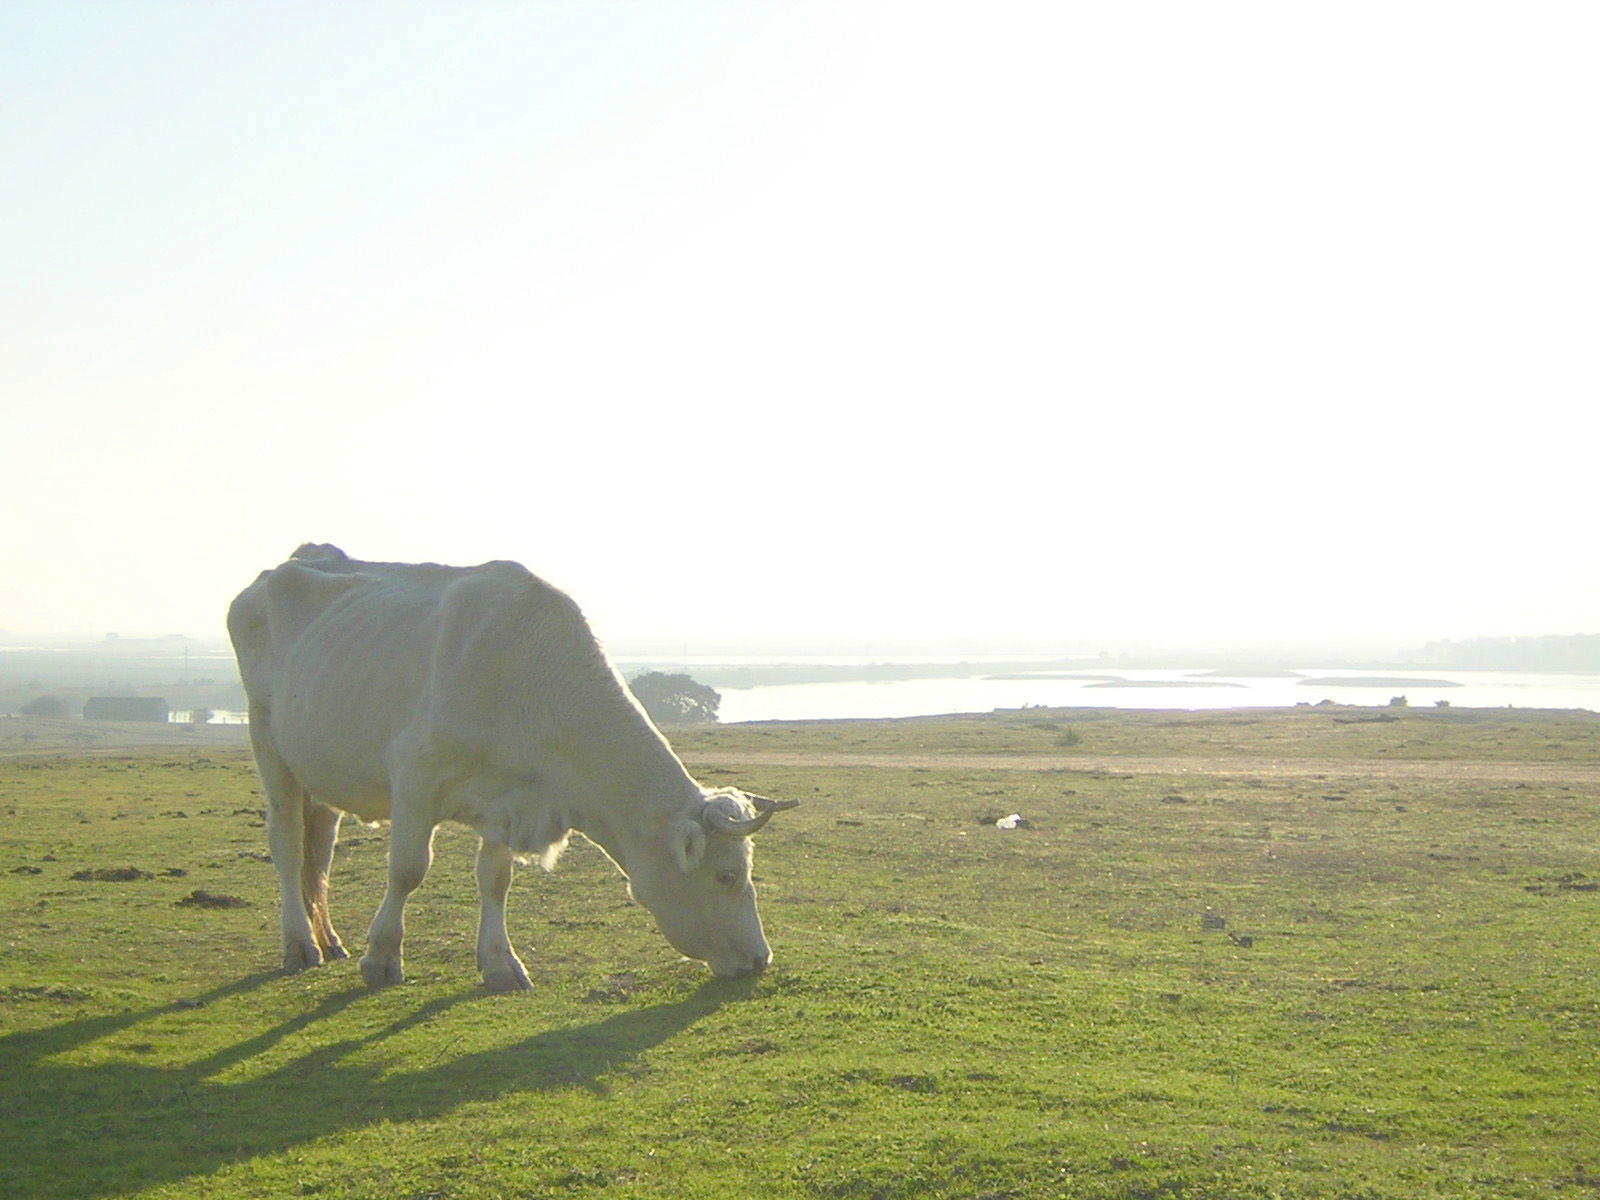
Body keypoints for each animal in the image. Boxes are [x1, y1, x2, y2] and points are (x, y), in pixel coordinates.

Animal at [227, 550, 793, 992]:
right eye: (727, 876)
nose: (761, 958)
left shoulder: (511, 799)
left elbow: (495, 879)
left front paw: (501, 964)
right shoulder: (415, 776)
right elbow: (408, 869)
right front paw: (383, 957)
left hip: (320, 769)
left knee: (318, 851)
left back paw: (329, 940)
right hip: (267, 743)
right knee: (287, 844)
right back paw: (300, 944)